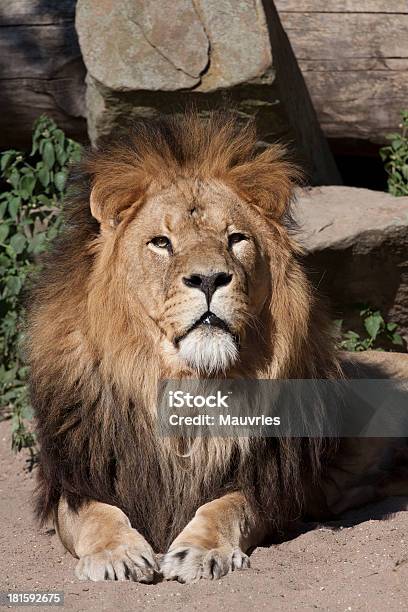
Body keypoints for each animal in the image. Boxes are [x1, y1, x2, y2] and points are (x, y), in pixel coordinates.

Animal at [27, 112, 406, 584]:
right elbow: (96, 514)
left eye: (236, 239)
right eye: (161, 242)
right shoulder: (76, 477)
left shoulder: (267, 486)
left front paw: (202, 551)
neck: (189, 386)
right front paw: (117, 554)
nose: (209, 279)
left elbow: (226, 507)